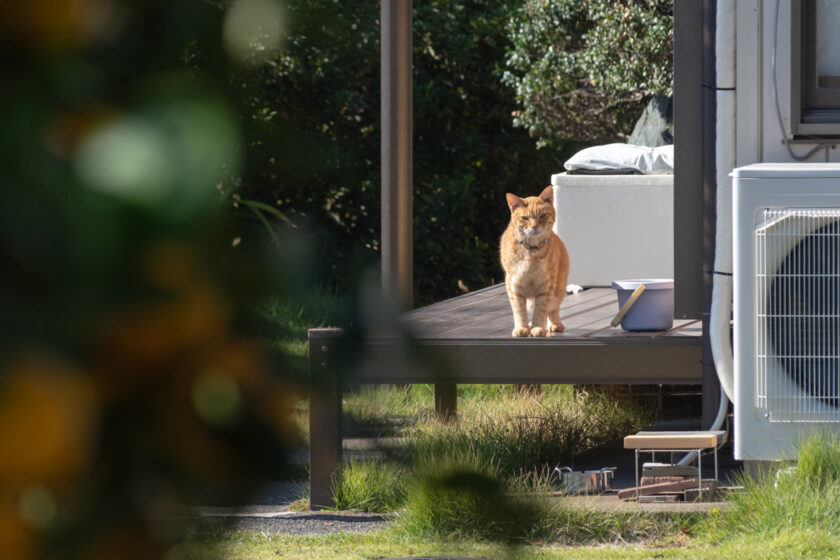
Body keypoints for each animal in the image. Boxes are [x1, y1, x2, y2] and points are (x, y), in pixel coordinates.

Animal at [498, 187, 572, 336]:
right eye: (525, 218)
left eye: (542, 216)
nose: (535, 226)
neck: (531, 253)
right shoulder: (514, 285)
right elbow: (519, 311)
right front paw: (521, 328)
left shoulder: (545, 286)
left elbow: (540, 310)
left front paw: (538, 328)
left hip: (558, 291)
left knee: (552, 310)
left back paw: (555, 324)